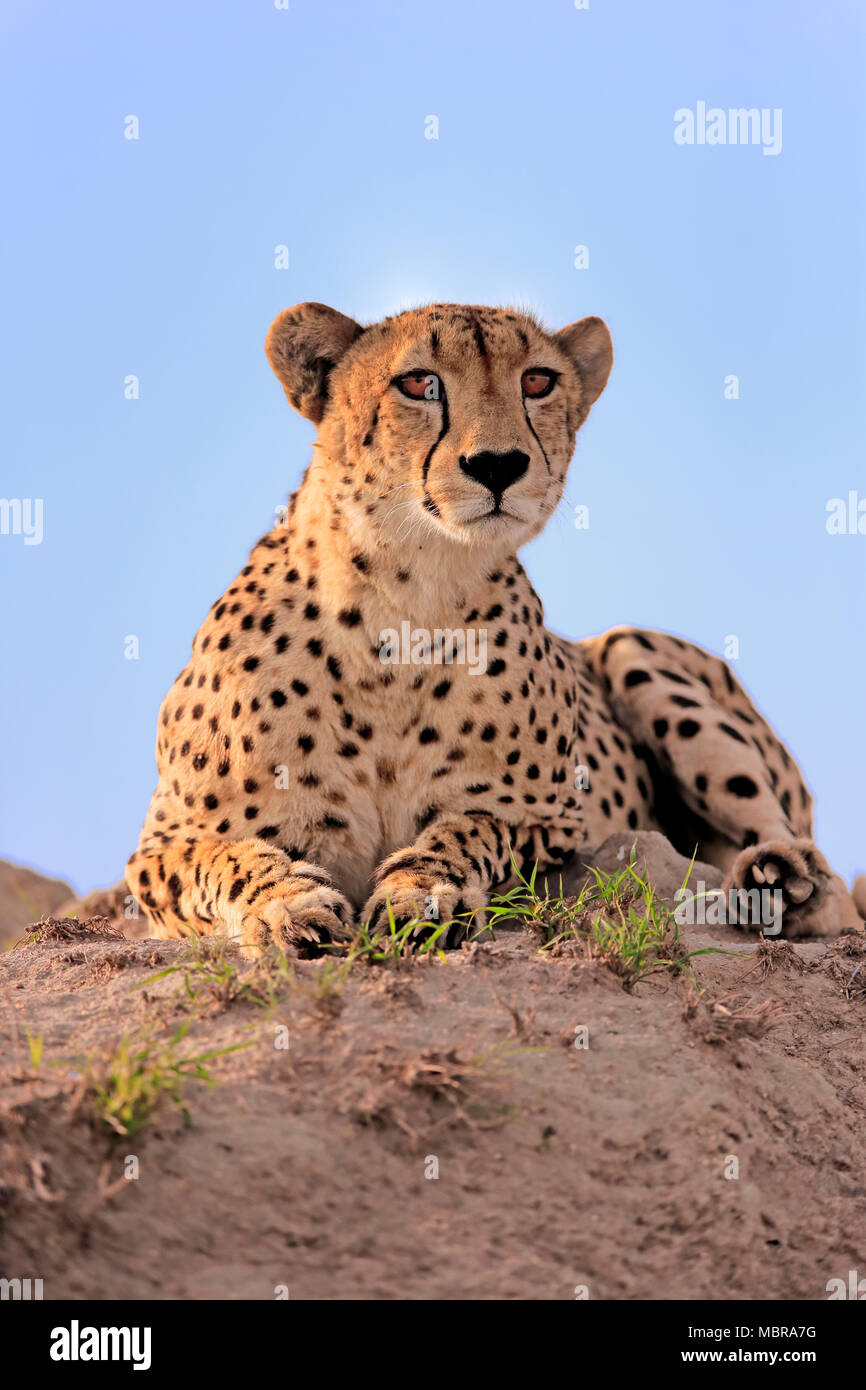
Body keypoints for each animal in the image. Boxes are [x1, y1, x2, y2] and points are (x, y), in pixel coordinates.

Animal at [128, 303, 861, 956]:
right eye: (418, 383)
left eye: (537, 381)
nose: (498, 464)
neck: (400, 604)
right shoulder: (159, 845)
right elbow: (226, 856)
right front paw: (288, 903)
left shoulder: (552, 818)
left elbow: (470, 830)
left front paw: (423, 893)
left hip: (635, 651)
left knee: (814, 870)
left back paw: (783, 879)